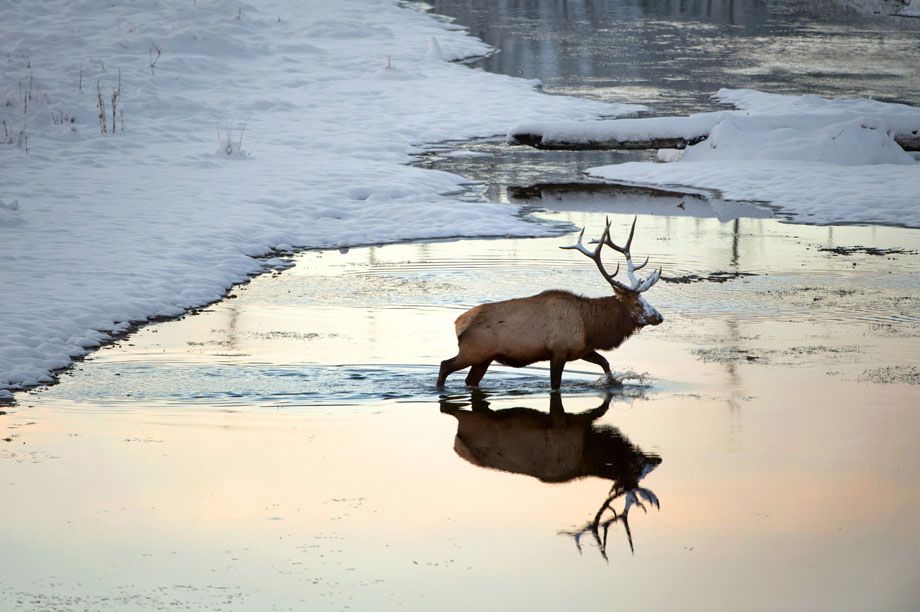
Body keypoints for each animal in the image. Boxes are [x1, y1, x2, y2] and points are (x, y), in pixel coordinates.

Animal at [436, 217, 663, 392]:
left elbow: (605, 363)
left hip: (484, 358)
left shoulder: (583, 350)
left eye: (645, 300)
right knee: (445, 365)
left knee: (470, 380)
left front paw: (613, 382)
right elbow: (555, 384)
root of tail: (458, 324)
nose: (659, 317)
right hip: (473, 350)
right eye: (636, 304)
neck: (591, 327)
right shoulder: (558, 351)